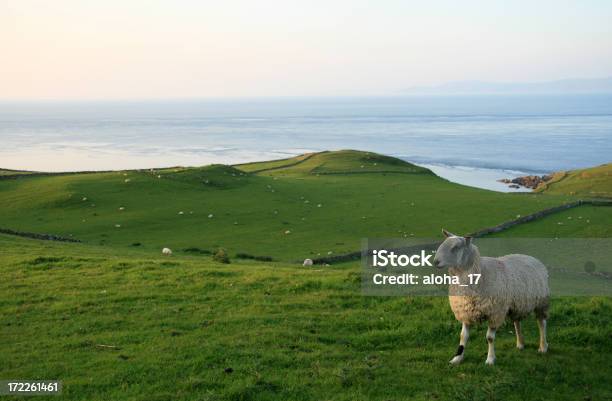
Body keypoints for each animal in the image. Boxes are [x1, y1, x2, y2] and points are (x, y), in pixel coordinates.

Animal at [430, 227, 548, 364]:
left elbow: (490, 338)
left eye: (455, 247)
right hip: (516, 304)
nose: (435, 262)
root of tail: (531, 257)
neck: (481, 272)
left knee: (541, 323)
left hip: (541, 302)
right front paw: (457, 358)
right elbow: (463, 336)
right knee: (517, 322)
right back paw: (520, 344)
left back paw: (543, 346)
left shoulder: (494, 313)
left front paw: (490, 359)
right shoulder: (466, 311)